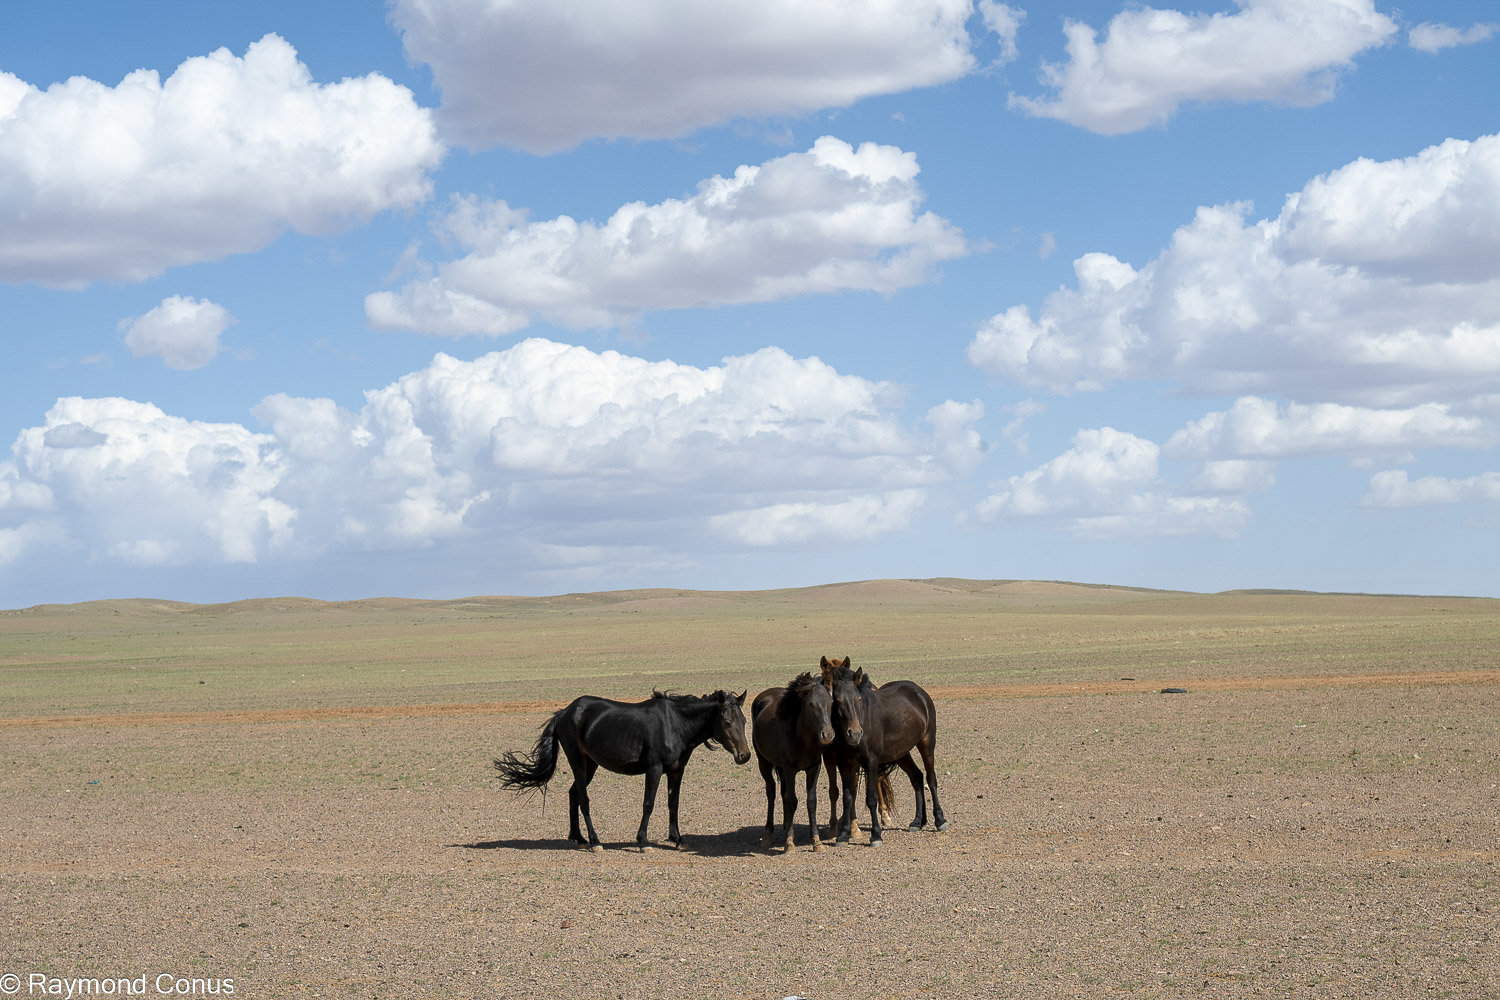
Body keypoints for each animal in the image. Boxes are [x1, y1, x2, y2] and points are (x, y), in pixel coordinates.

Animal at [494, 689, 751, 852]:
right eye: (727, 722)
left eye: (745, 721)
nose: (744, 755)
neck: (675, 724)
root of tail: (564, 713)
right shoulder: (654, 769)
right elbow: (649, 803)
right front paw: (643, 841)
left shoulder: (677, 770)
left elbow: (673, 803)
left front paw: (677, 839)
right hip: (578, 761)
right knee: (583, 798)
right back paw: (595, 841)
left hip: (590, 764)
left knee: (573, 794)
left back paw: (578, 838)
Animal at [751, 670, 836, 853]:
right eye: (811, 704)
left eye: (831, 702)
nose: (827, 734)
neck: (802, 740)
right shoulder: (790, 769)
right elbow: (792, 800)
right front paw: (789, 843)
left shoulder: (813, 768)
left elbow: (811, 802)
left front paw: (816, 841)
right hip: (764, 763)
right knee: (771, 792)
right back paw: (768, 834)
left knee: (783, 793)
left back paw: (785, 824)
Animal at [825, 659, 949, 846]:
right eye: (837, 700)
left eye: (858, 699)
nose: (855, 733)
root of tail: (919, 692)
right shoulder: (845, 763)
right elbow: (847, 798)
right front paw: (843, 835)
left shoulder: (871, 761)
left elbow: (871, 799)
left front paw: (876, 835)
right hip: (901, 752)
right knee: (917, 777)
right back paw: (918, 821)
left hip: (926, 743)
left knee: (931, 779)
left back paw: (940, 820)